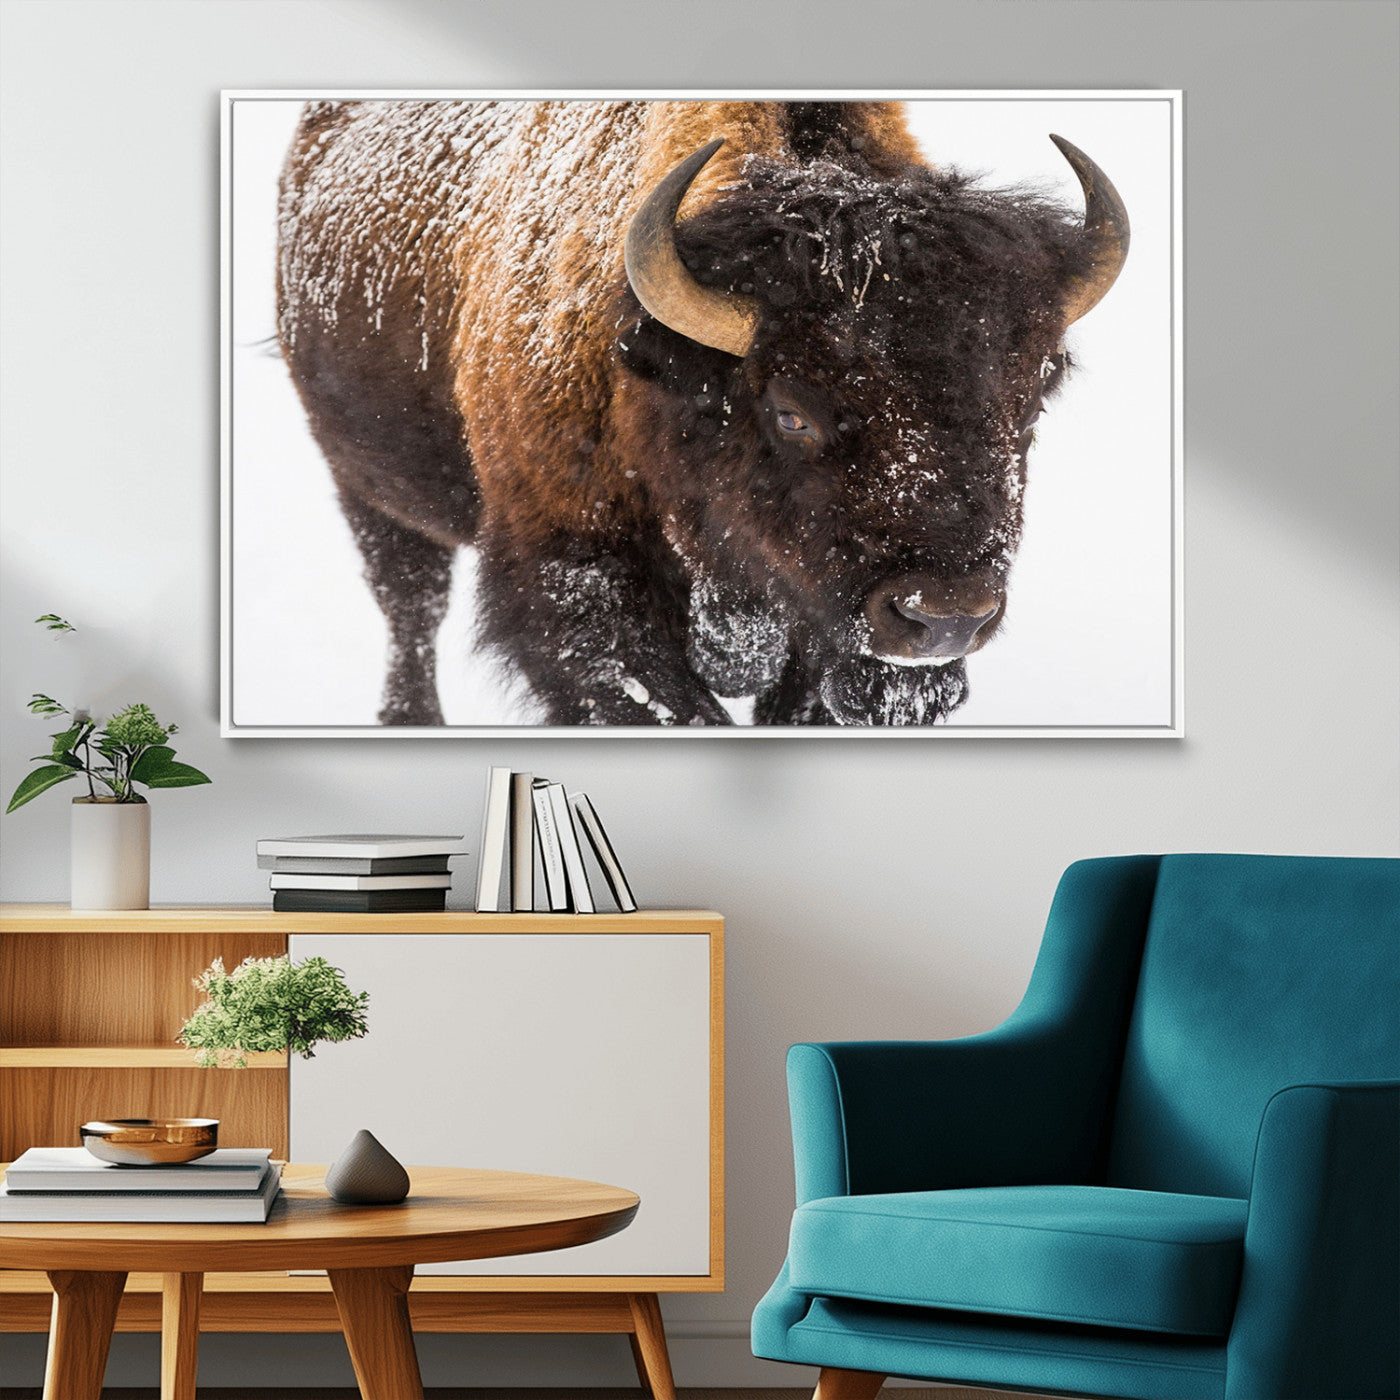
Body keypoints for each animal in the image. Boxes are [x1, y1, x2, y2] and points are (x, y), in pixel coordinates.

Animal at [276, 99, 1128, 726]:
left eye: (1031, 401)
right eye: (791, 413)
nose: (945, 616)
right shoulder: (577, 589)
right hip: (368, 485)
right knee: (410, 606)